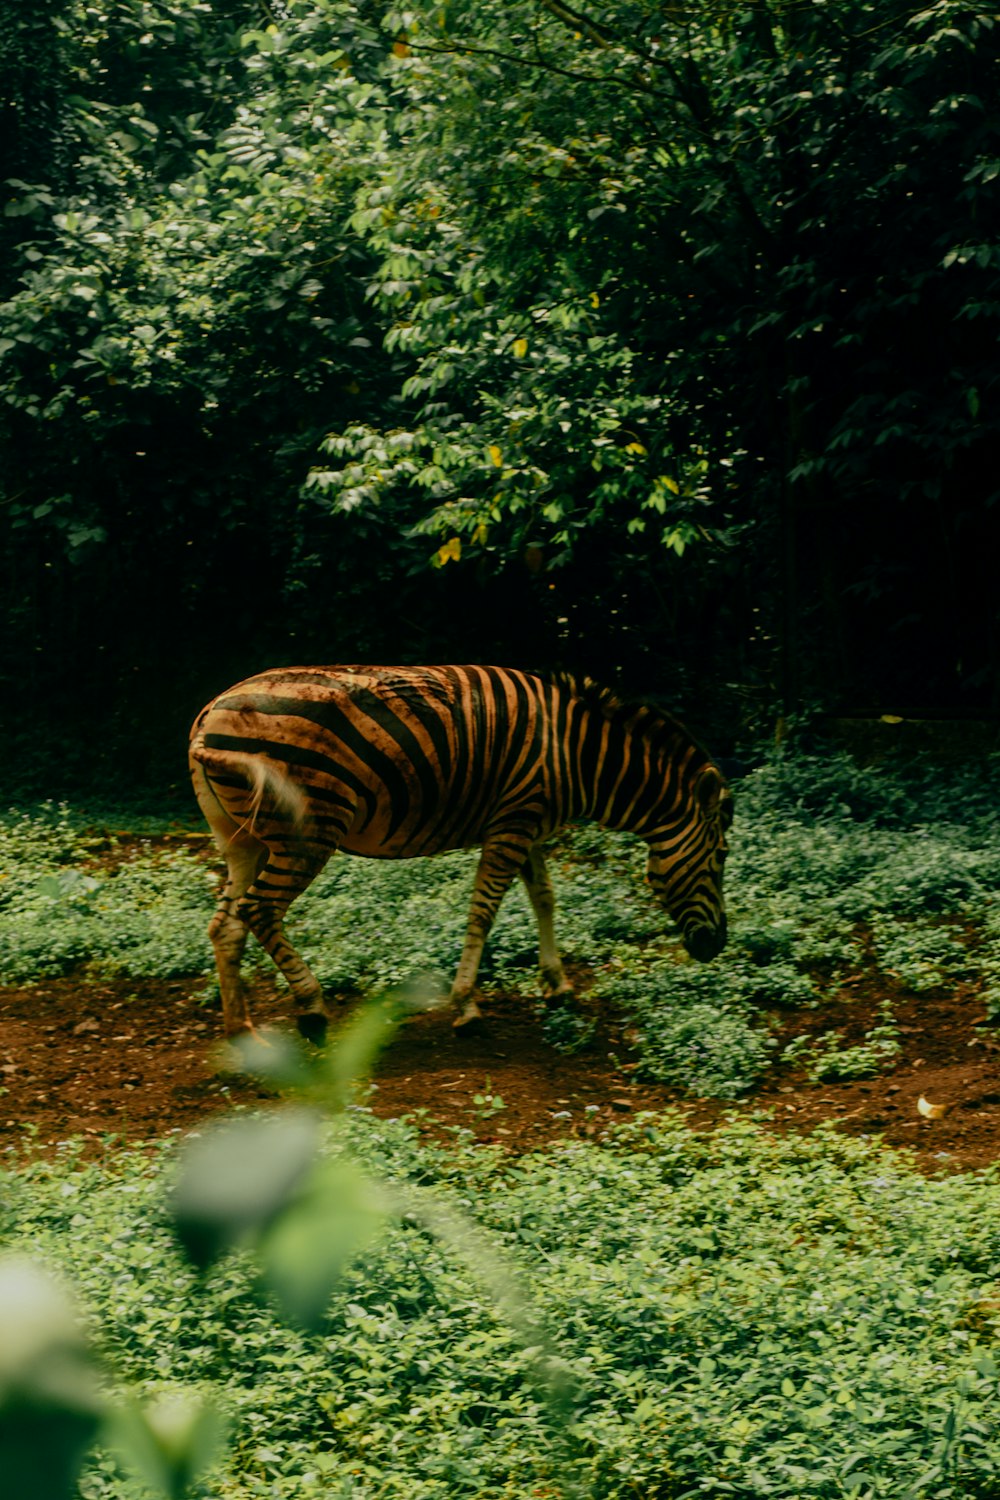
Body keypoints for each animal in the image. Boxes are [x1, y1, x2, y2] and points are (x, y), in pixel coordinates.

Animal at [189, 669, 734, 1044]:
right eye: (722, 856)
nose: (717, 946)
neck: (577, 756)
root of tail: (209, 714)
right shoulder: (513, 822)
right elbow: (484, 910)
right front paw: (466, 1005)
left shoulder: (529, 825)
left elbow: (544, 897)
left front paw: (557, 984)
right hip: (307, 831)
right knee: (260, 910)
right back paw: (312, 1010)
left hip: (244, 840)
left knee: (225, 926)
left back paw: (241, 1033)